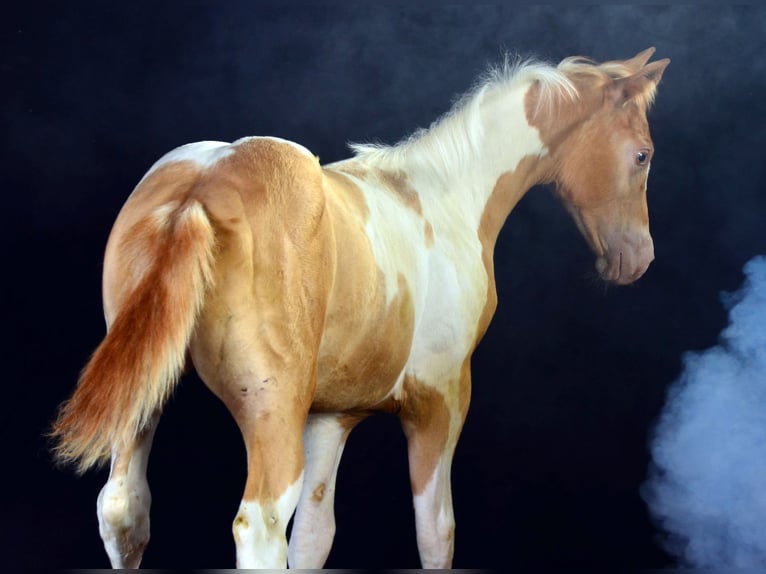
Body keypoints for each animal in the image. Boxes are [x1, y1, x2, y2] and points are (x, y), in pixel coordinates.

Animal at [50, 47, 669, 569]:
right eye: (642, 155)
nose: (637, 259)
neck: (447, 199)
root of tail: (201, 187)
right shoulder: (442, 401)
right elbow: (435, 530)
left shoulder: (331, 415)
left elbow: (315, 535)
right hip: (271, 413)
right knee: (260, 526)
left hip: (143, 403)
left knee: (123, 509)